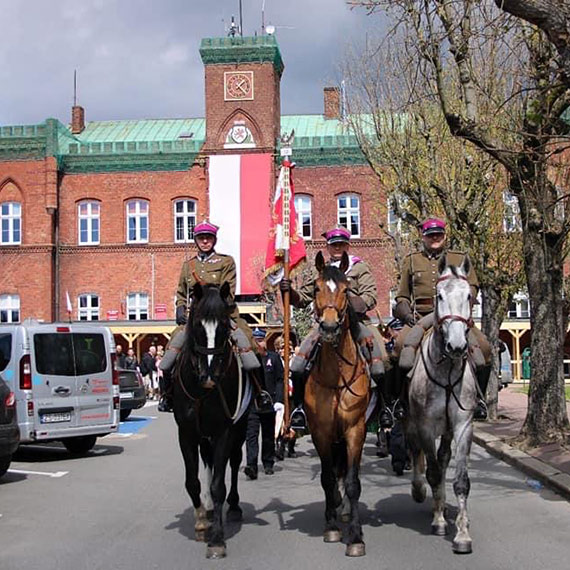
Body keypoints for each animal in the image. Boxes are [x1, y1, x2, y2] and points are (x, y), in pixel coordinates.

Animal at [174, 282, 247, 556]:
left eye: (224, 326)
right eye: (197, 325)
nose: (209, 376)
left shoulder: (225, 431)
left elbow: (218, 485)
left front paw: (216, 538)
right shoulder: (186, 433)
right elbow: (192, 481)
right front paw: (202, 523)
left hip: (240, 428)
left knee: (234, 463)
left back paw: (233, 506)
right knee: (208, 463)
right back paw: (206, 507)